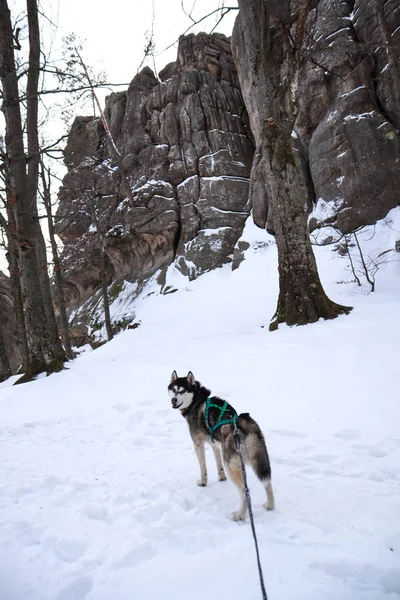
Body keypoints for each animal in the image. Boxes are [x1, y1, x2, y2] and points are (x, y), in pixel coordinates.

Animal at [166, 370, 276, 520]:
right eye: (174, 390)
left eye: (182, 391)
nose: (174, 400)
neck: (197, 402)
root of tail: (243, 424)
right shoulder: (216, 445)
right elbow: (219, 465)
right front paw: (221, 478)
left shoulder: (198, 444)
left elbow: (203, 468)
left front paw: (203, 482)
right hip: (257, 460)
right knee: (267, 482)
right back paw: (270, 505)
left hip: (232, 465)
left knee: (245, 492)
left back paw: (240, 515)